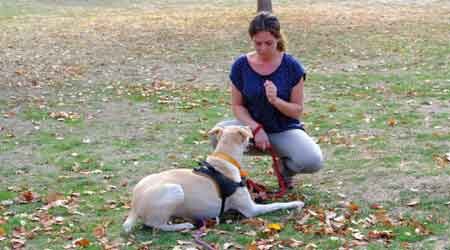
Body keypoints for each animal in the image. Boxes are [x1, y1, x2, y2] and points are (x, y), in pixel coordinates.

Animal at [123, 125, 304, 232]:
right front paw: (296, 203)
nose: (254, 136)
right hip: (175, 190)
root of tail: (134, 206)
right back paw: (183, 225)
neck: (225, 158)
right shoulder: (251, 210)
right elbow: (278, 204)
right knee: (155, 225)